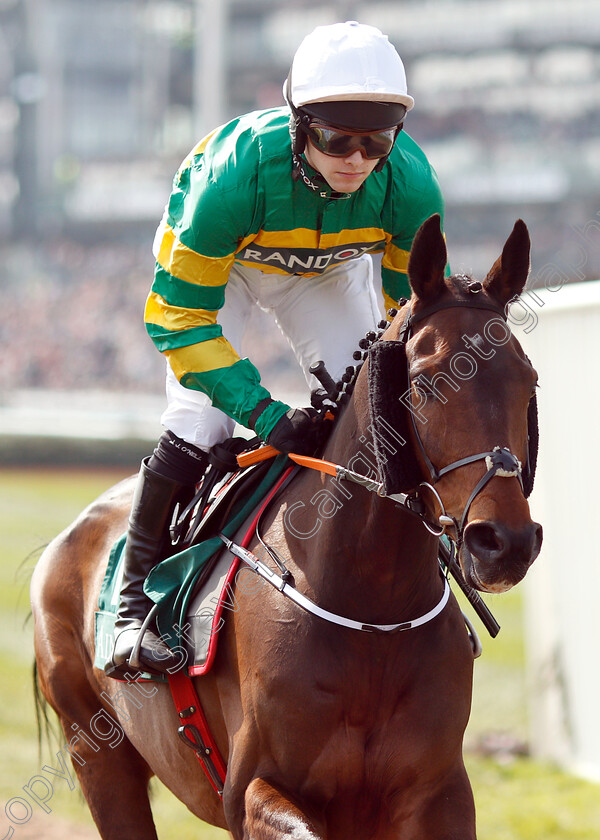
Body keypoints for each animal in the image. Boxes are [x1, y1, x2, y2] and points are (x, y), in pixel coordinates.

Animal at [30, 213, 540, 836]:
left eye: (529, 380)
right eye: (424, 382)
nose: (505, 543)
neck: (371, 609)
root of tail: (64, 539)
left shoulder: (438, 791)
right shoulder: (251, 788)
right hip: (98, 755)